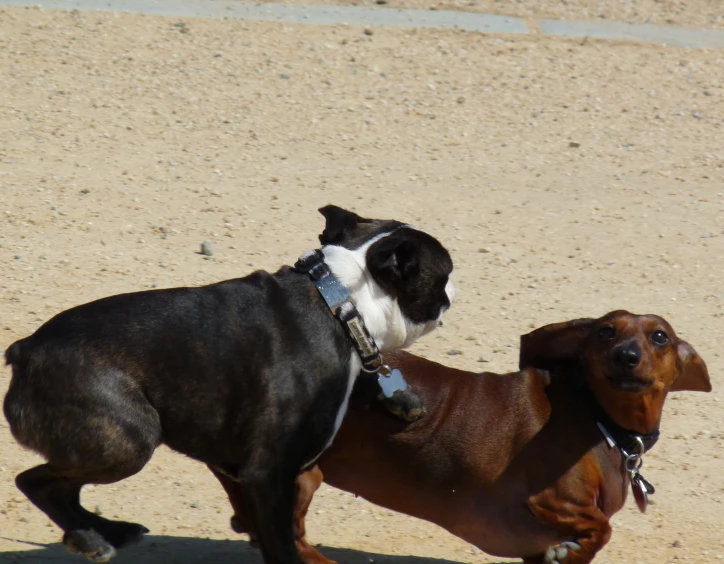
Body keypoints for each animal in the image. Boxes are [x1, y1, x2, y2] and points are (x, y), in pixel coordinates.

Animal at [2, 206, 452, 564]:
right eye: (444, 274)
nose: (452, 291)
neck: (340, 301)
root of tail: (27, 350)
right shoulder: (266, 475)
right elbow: (281, 544)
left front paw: (398, 396)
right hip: (128, 439)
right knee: (38, 482)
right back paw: (89, 539)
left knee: (64, 486)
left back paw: (108, 531)